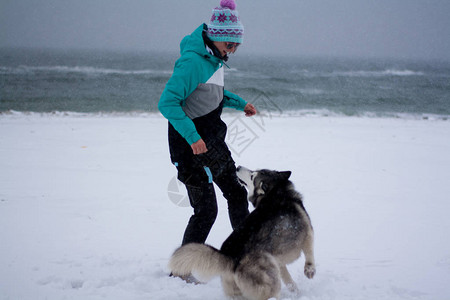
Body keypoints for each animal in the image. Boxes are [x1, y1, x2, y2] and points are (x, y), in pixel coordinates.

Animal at [170, 166, 316, 300]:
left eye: (252, 174)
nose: (238, 167)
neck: (275, 193)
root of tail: (228, 255)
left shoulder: (279, 261)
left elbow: (288, 279)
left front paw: (296, 292)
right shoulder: (307, 233)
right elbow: (309, 254)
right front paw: (309, 271)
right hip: (270, 279)